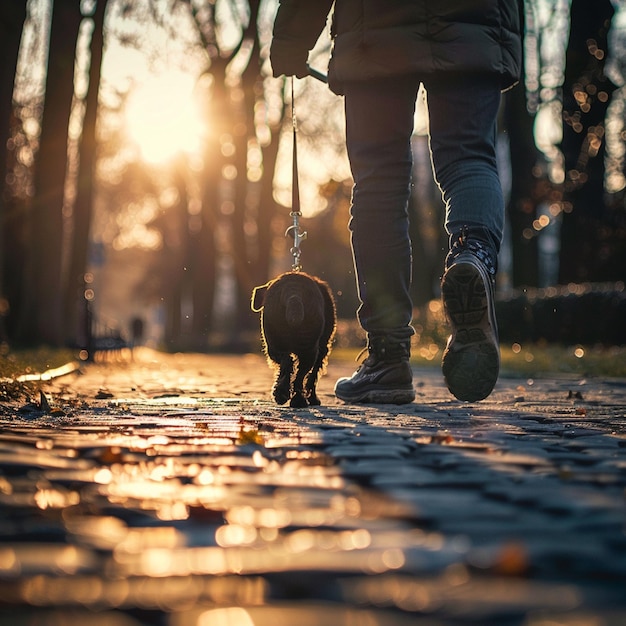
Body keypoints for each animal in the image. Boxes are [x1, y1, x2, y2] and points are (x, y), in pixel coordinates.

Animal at [250, 270, 334, 408]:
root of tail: (293, 294)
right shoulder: (322, 350)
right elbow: (313, 375)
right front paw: (313, 398)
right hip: (310, 349)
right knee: (301, 374)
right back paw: (298, 399)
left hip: (274, 344)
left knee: (287, 362)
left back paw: (282, 394)